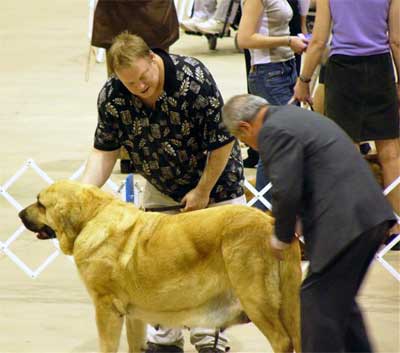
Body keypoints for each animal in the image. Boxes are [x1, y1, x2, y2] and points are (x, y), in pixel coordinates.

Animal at [18, 180, 300, 350]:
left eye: (41, 204)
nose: (20, 214)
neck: (91, 218)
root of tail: (270, 224)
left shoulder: (106, 307)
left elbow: (107, 345)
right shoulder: (133, 314)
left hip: (257, 301)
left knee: (282, 341)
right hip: (286, 305)